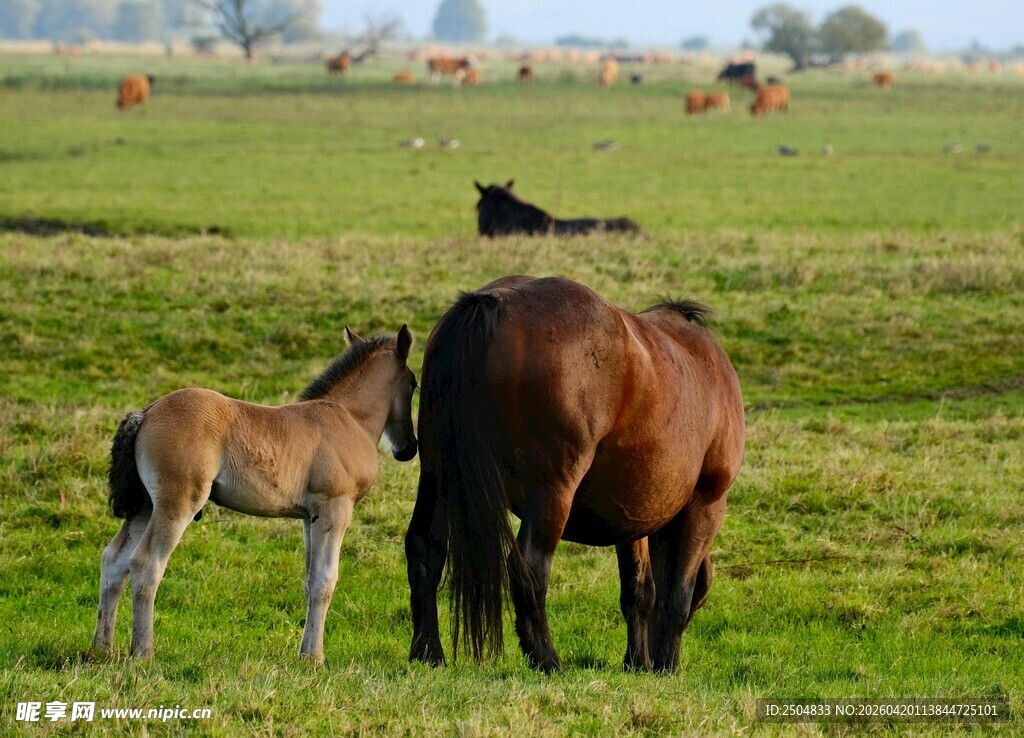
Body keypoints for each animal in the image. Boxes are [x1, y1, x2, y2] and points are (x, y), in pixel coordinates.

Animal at [91, 326, 418, 664]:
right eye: (414, 384)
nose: (408, 448)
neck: (349, 417)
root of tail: (146, 414)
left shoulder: (309, 517)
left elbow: (310, 579)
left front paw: (304, 653)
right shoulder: (334, 509)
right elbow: (324, 581)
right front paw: (315, 658)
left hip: (145, 506)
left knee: (114, 561)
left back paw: (101, 648)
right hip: (176, 503)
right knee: (146, 564)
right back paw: (143, 652)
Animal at [405, 276, 745, 674]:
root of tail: (494, 302)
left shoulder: (632, 520)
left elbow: (639, 591)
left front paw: (638, 661)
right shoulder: (705, 505)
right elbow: (676, 595)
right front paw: (665, 666)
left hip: (437, 475)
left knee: (425, 549)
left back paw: (429, 653)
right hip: (552, 491)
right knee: (529, 567)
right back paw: (546, 659)